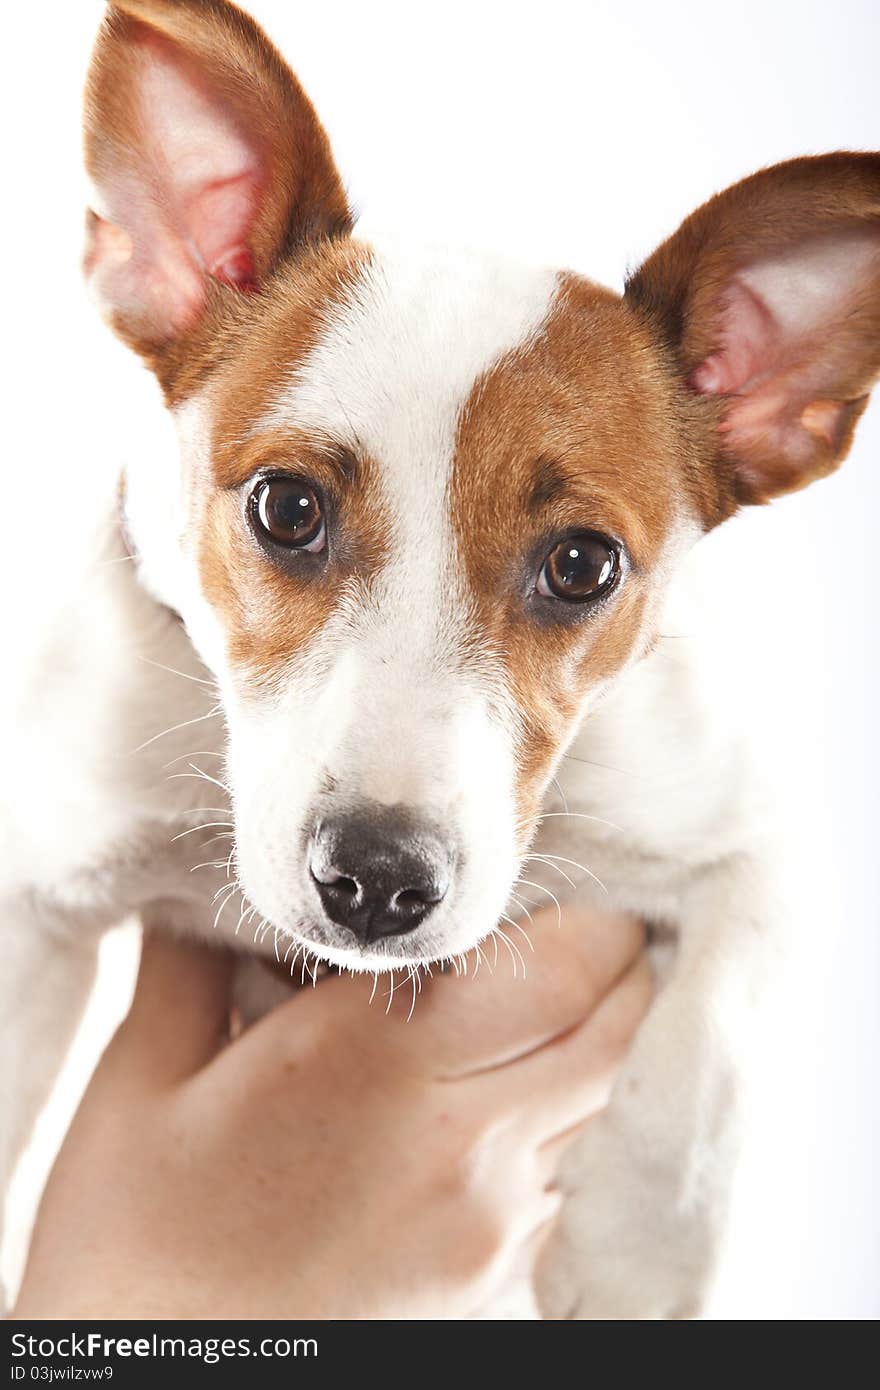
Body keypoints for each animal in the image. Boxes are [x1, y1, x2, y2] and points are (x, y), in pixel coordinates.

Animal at [1, 0, 878, 1323]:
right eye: (287, 508)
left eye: (582, 565)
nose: (376, 880)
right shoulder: (39, 879)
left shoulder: (742, 830)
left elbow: (712, 1039)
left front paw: (633, 1254)